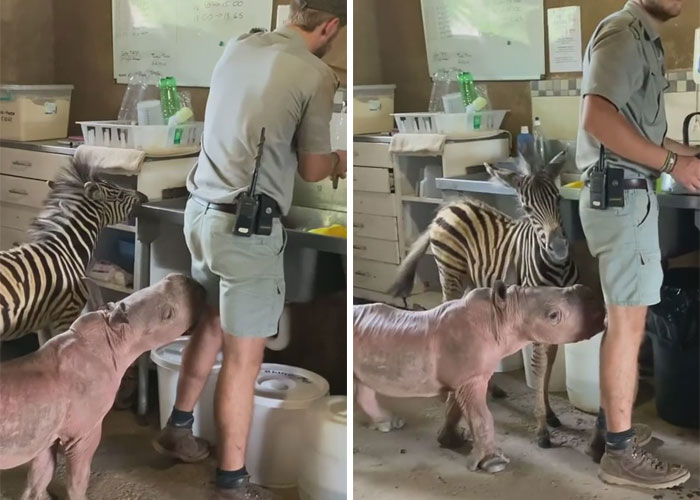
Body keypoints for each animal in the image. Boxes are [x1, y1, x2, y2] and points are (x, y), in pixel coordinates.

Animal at [0, 274, 205, 500]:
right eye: (168, 315)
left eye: (166, 279)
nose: (192, 282)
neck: (116, 337)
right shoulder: (84, 431)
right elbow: (78, 478)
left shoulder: (47, 431)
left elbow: (39, 475)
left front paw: (39, 494)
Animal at [352, 282, 604, 472]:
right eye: (553, 315)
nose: (595, 297)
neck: (501, 315)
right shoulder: (470, 378)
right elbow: (482, 417)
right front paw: (494, 464)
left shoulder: (464, 376)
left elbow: (454, 410)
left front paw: (452, 440)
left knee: (361, 383)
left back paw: (388, 423)